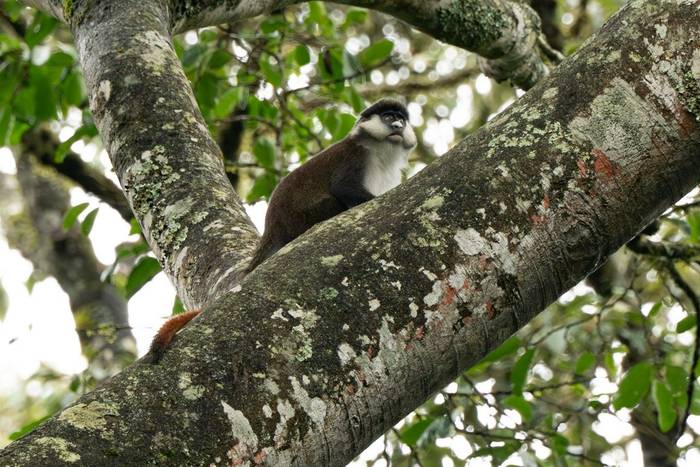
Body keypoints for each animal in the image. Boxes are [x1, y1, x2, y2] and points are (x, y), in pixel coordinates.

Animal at [147, 98, 416, 363]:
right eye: (388, 117)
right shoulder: (355, 157)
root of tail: (273, 231)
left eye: (400, 119)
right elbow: (343, 187)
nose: (397, 125)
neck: (381, 152)